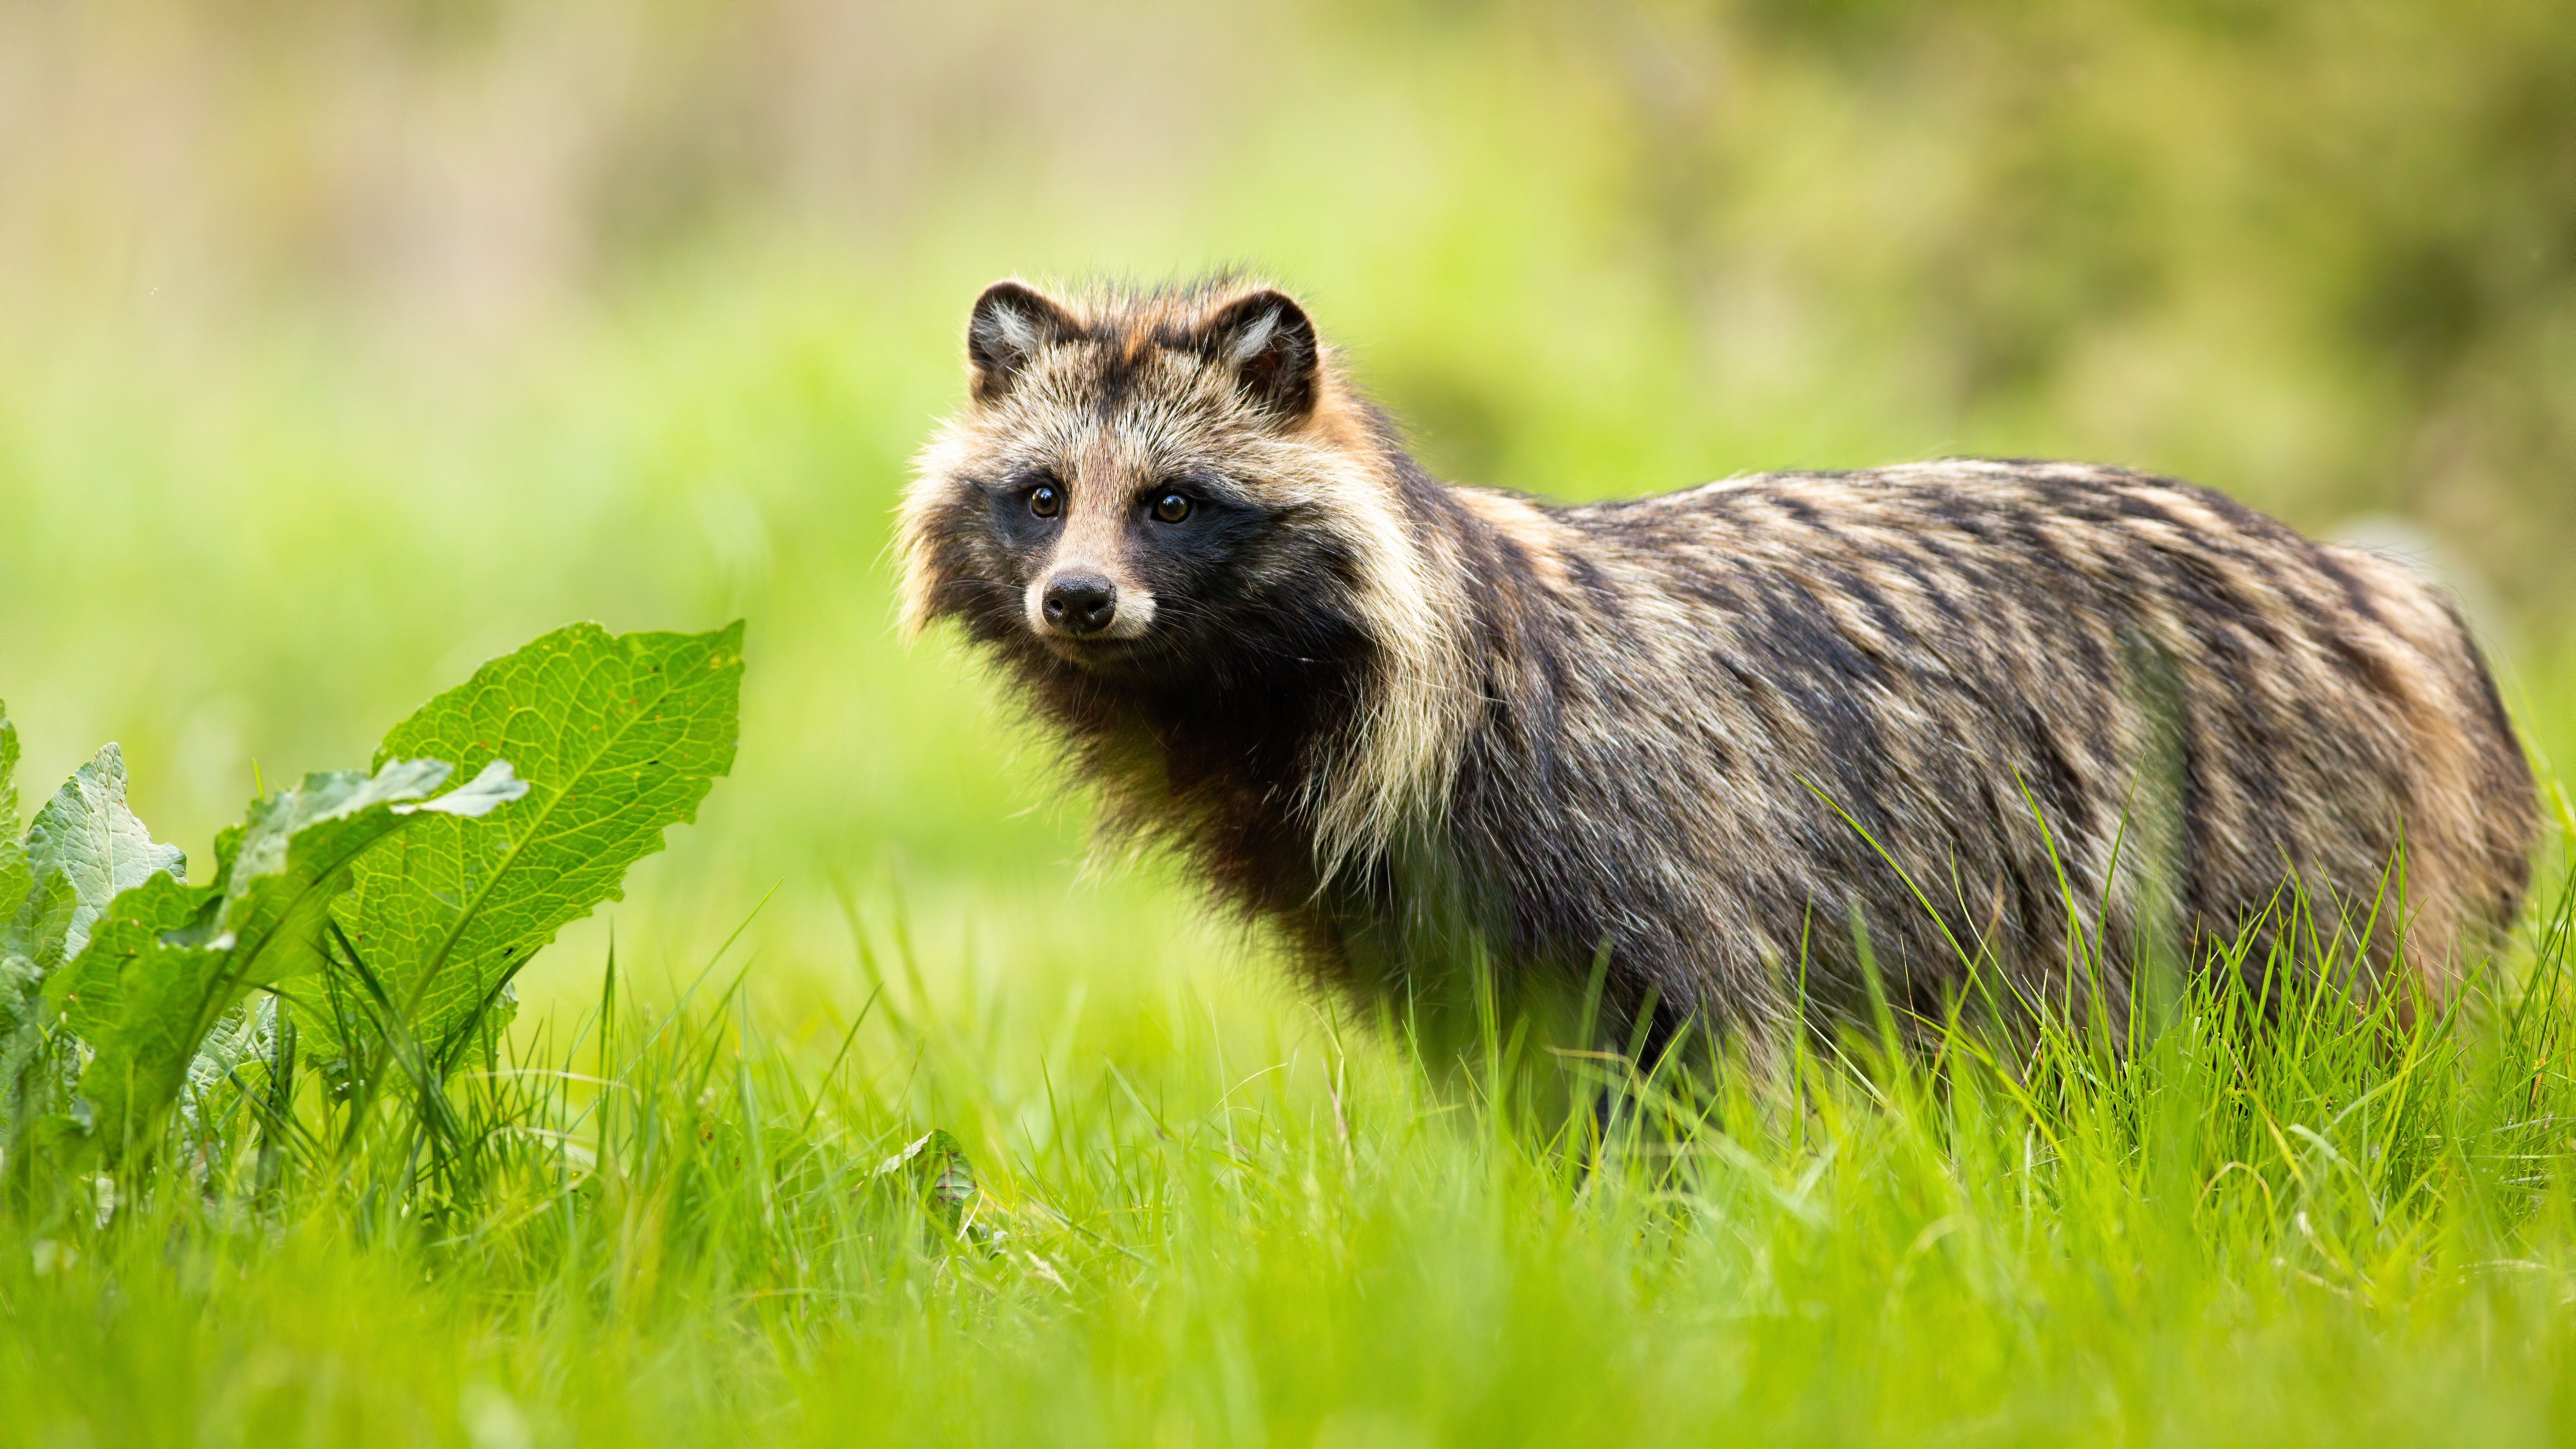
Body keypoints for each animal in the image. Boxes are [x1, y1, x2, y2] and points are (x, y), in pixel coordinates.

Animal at [902, 275, 2534, 1057]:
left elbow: (1711, 1068)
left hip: (2270, 847)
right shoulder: (1419, 926)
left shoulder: (1649, 847)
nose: (1078, 600)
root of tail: (2380, 591)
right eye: (1042, 492)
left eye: (1173, 503)